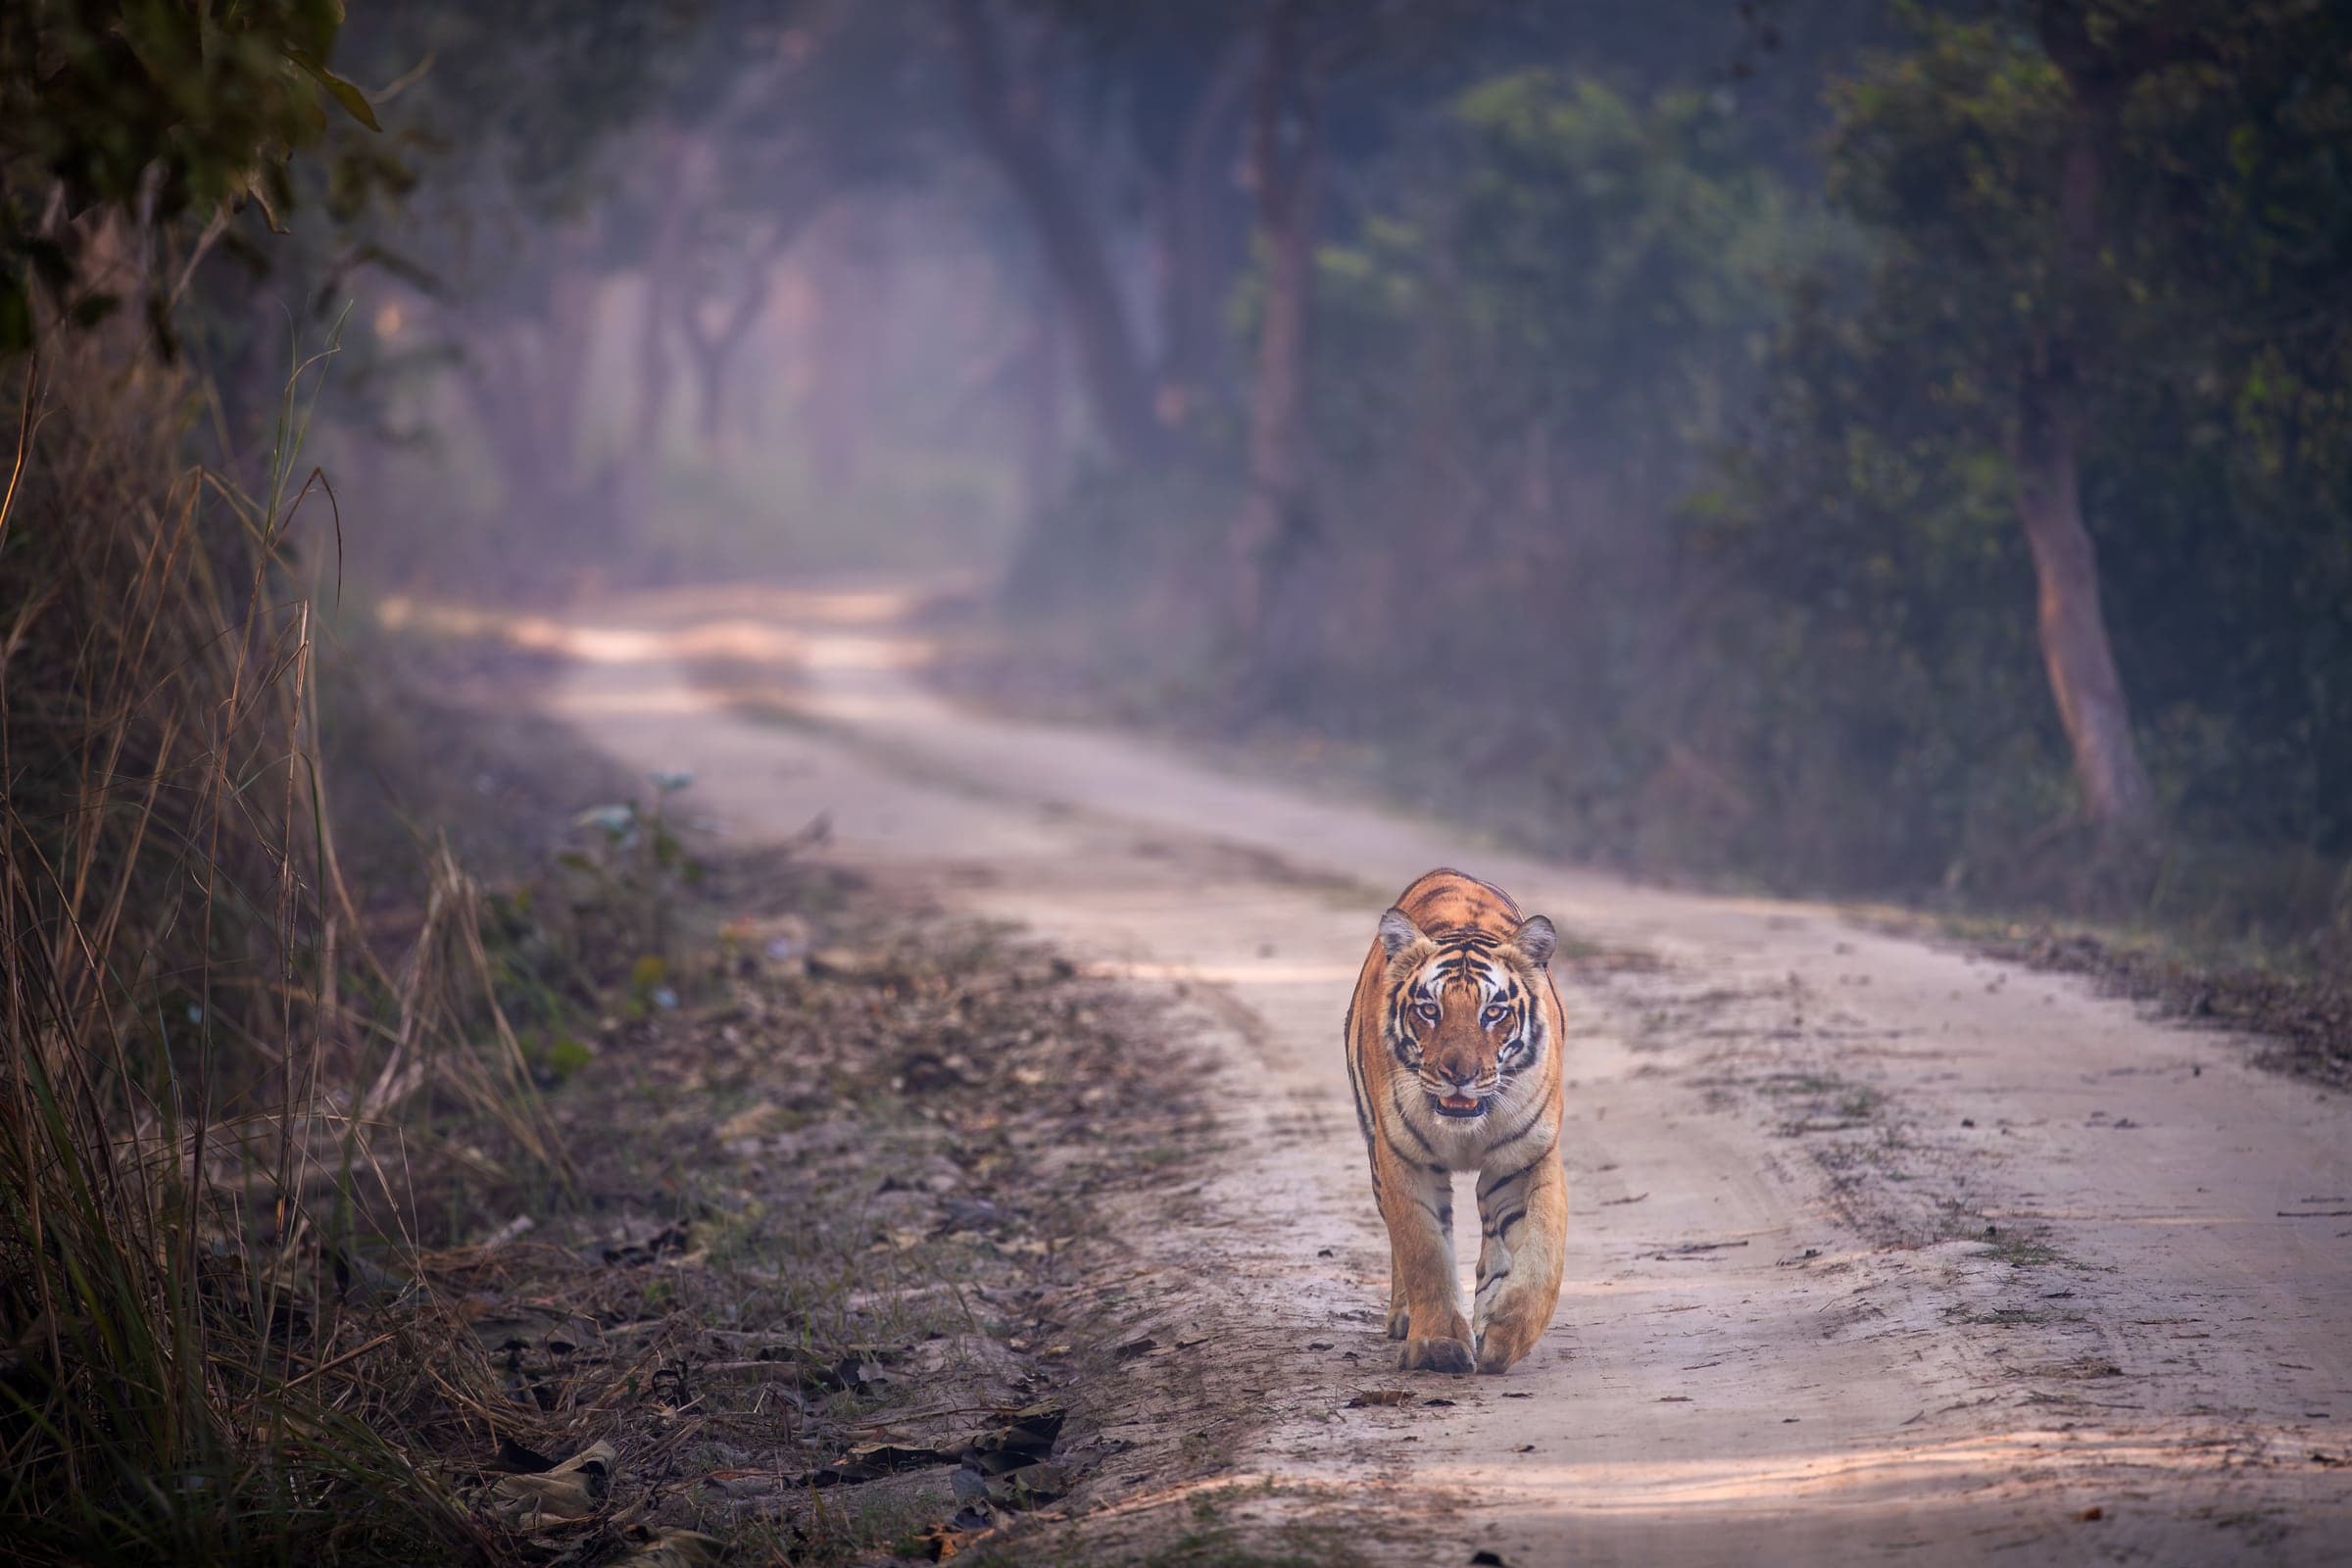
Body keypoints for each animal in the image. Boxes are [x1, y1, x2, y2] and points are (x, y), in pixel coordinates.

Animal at [1343, 868, 1567, 1374]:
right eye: (1430, 1010)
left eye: (1493, 1012)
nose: (1458, 1074)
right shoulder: (1403, 1159)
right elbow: (1423, 1251)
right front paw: (1438, 1347)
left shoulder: (1526, 1158)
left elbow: (1542, 1253)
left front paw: (1504, 1335)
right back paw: (1405, 1318)